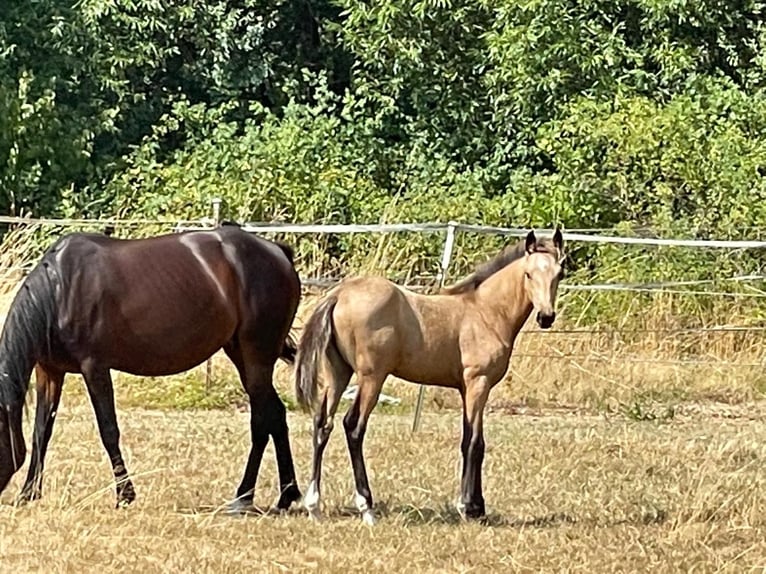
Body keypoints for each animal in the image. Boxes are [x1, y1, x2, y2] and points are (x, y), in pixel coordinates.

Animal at [0, 224, 302, 512]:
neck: (60, 290)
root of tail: (278, 252)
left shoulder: (94, 368)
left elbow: (108, 430)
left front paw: (125, 495)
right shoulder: (50, 371)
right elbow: (41, 431)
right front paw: (28, 493)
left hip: (256, 356)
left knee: (261, 420)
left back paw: (244, 496)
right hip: (241, 354)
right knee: (275, 414)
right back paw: (287, 495)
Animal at [294, 229, 565, 524]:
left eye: (559, 274)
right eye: (528, 274)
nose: (546, 317)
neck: (485, 312)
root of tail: (340, 294)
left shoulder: (466, 389)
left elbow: (473, 441)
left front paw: (478, 508)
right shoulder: (478, 384)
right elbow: (473, 443)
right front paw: (467, 507)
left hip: (338, 373)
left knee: (322, 423)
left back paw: (314, 506)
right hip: (371, 377)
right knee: (353, 427)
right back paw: (366, 508)